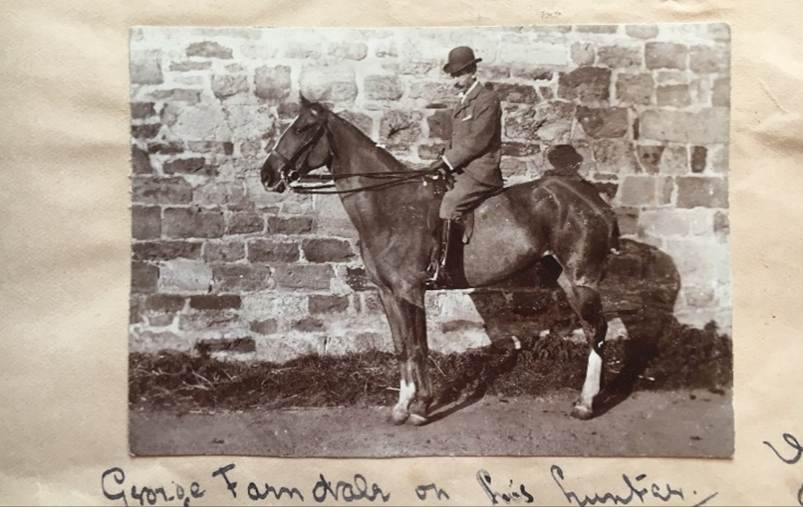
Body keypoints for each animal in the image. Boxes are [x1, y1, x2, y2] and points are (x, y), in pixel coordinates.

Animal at [260, 95, 620, 425]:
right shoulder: (387, 293)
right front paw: (401, 406)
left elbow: (419, 346)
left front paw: (421, 407)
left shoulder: (411, 290)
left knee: (597, 330)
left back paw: (585, 403)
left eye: (302, 128)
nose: (267, 174)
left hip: (582, 280)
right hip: (565, 278)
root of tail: (592, 199)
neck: (390, 205)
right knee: (593, 328)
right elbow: (401, 345)